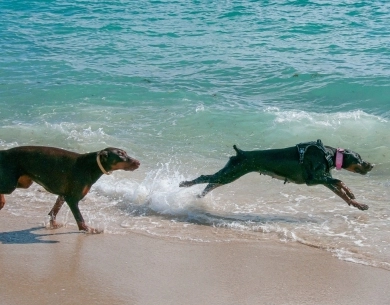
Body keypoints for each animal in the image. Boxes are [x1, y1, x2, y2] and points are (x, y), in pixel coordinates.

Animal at [0, 146, 140, 232]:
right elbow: (80, 219)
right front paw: (89, 230)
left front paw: (54, 224)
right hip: (10, 184)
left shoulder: (63, 194)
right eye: (121, 155)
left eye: (125, 153)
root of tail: (4, 152)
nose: (138, 162)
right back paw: (2, 202)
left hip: (24, 182)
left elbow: (54, 210)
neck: (91, 165)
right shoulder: (72, 198)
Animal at [181, 140, 374, 209]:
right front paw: (351, 193)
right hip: (232, 173)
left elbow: (341, 192)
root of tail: (240, 152)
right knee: (206, 178)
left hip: (230, 173)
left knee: (211, 183)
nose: (372, 165)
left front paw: (357, 203)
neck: (329, 154)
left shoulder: (324, 179)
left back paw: (198, 196)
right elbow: (339, 181)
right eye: (359, 158)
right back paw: (185, 184)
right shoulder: (314, 179)